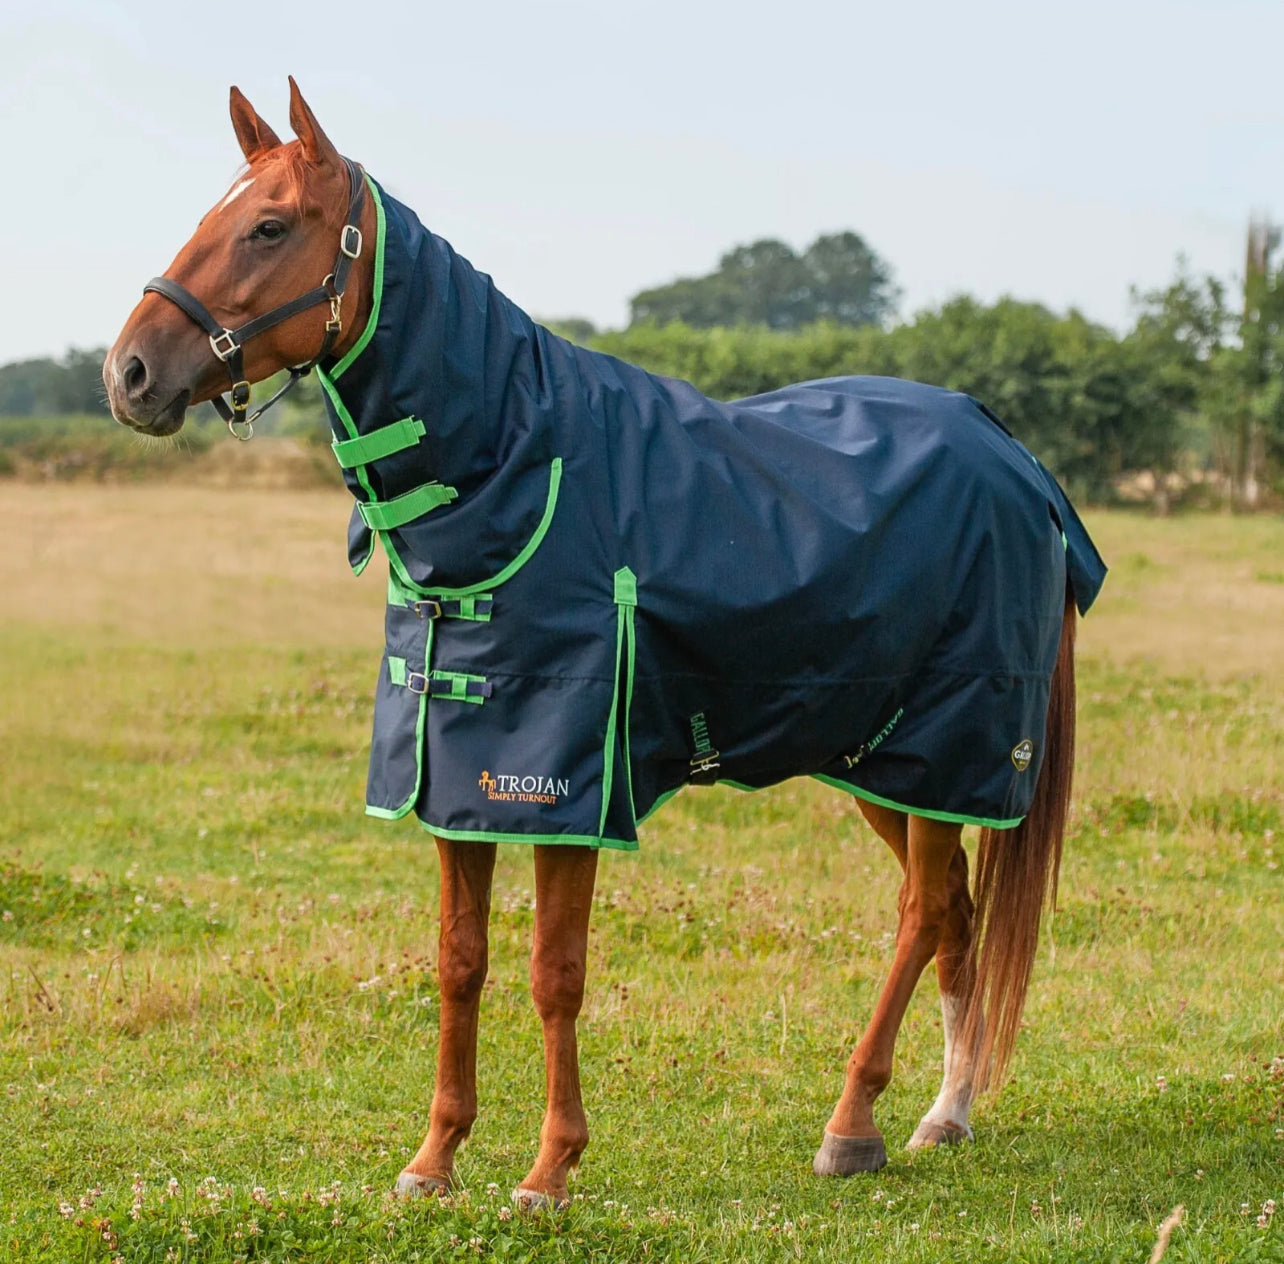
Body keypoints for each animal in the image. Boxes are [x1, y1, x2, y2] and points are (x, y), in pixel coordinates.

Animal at [104, 79, 1105, 1212]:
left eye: (269, 227)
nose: (128, 373)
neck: (518, 469)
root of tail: (1015, 456)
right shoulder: (455, 786)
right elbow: (459, 961)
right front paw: (435, 1157)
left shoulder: (564, 790)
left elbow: (554, 972)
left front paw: (550, 1167)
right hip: (882, 762)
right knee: (955, 910)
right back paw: (947, 1111)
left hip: (948, 748)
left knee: (925, 911)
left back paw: (854, 1123)